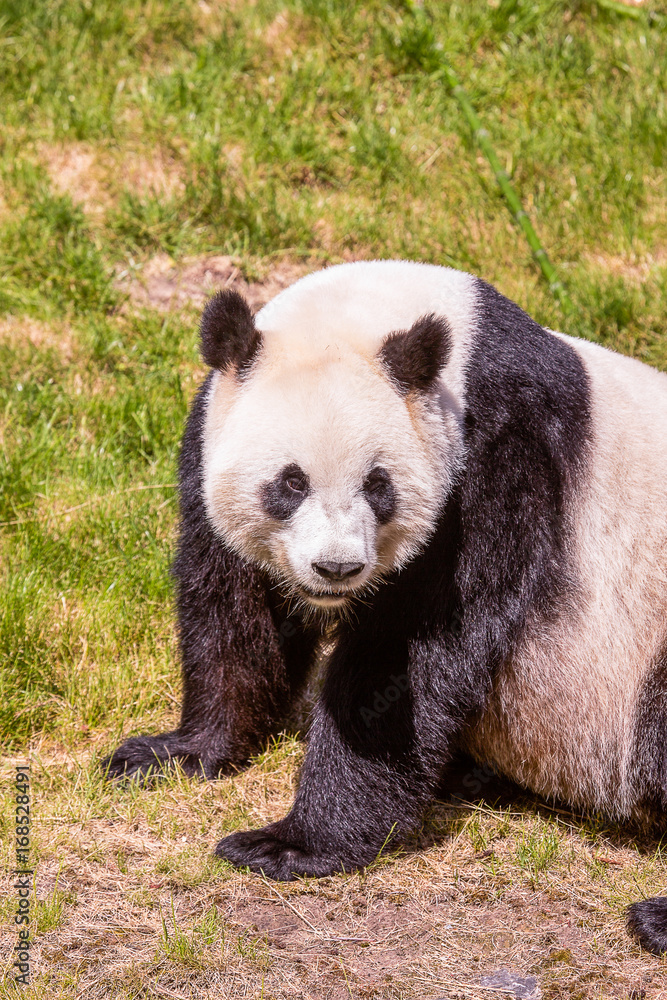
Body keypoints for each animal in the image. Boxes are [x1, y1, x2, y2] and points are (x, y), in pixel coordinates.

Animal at [104, 260, 667, 956]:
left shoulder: (501, 461)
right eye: (290, 483)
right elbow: (233, 603)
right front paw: (174, 753)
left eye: (378, 486)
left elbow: (409, 659)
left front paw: (290, 844)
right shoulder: (212, 429)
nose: (336, 568)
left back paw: (655, 919)